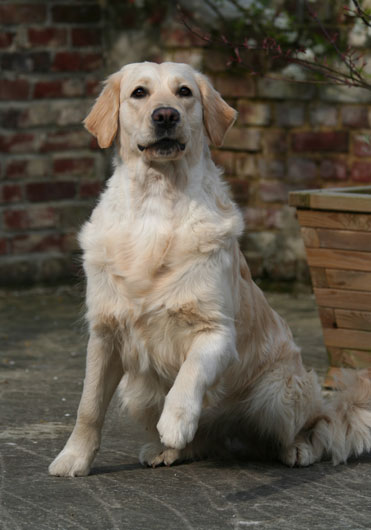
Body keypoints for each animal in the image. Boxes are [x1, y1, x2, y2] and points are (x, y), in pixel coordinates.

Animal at [49, 62, 371, 474]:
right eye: (139, 93)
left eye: (184, 92)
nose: (165, 115)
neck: (158, 202)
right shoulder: (104, 332)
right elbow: (88, 406)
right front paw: (73, 457)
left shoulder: (216, 330)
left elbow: (191, 372)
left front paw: (175, 420)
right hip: (136, 390)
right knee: (204, 441)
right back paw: (168, 450)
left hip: (279, 390)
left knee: (315, 424)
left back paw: (298, 448)